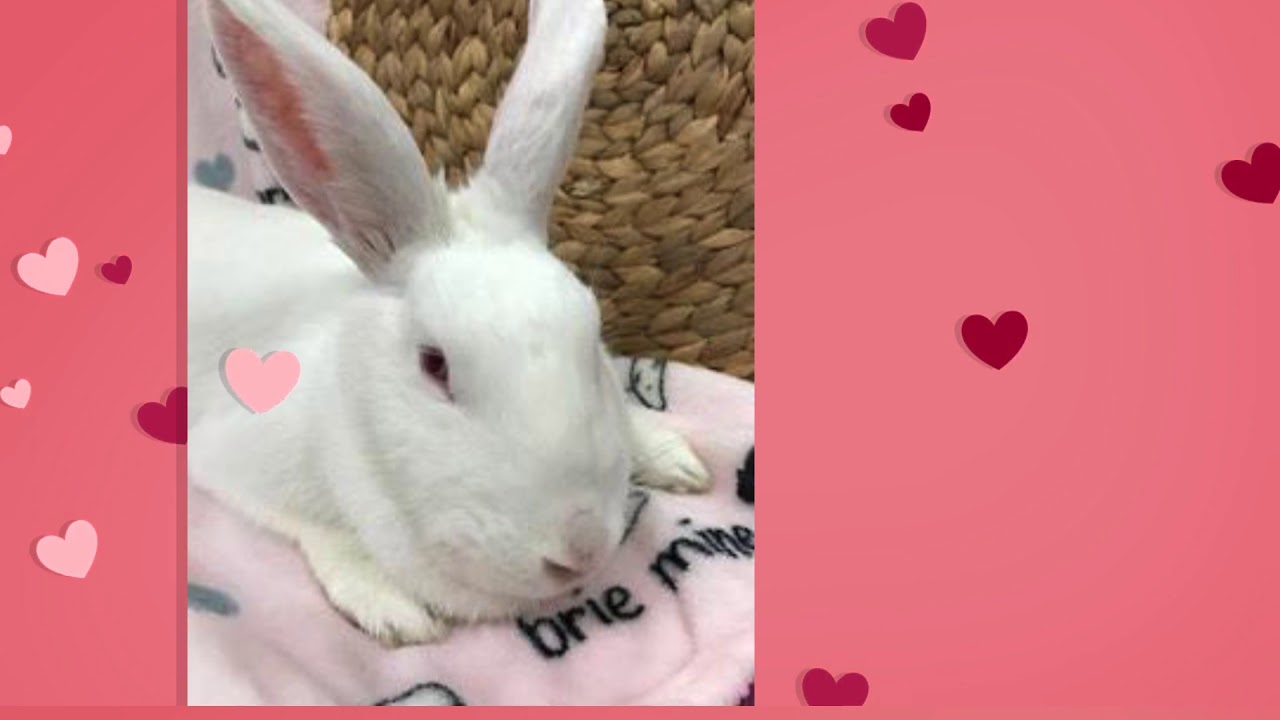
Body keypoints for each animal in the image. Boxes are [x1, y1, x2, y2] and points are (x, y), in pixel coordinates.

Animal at [187, 0, 712, 647]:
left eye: (591, 341)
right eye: (433, 365)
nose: (580, 551)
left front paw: (676, 459)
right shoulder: (231, 455)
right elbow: (319, 531)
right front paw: (395, 611)